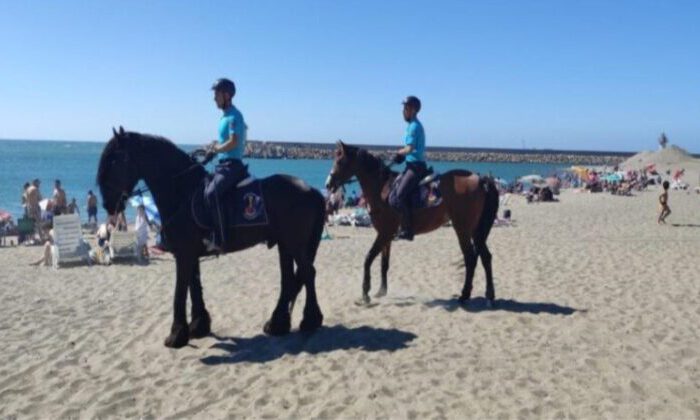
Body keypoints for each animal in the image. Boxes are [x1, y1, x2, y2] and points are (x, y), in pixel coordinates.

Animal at [97, 127, 326, 348]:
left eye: (114, 160)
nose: (107, 204)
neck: (183, 191)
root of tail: (311, 190)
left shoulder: (184, 254)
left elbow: (180, 292)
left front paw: (177, 335)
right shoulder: (189, 254)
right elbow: (194, 286)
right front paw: (198, 325)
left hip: (295, 244)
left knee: (309, 273)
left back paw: (310, 320)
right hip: (285, 244)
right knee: (289, 279)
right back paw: (278, 323)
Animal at [322, 141, 498, 306]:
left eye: (340, 161)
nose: (328, 184)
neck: (381, 189)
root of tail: (480, 179)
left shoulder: (384, 233)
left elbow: (368, 259)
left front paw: (365, 294)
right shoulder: (386, 235)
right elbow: (384, 264)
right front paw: (381, 291)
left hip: (462, 229)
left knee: (470, 258)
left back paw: (464, 295)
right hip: (476, 231)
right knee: (486, 257)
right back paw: (489, 295)